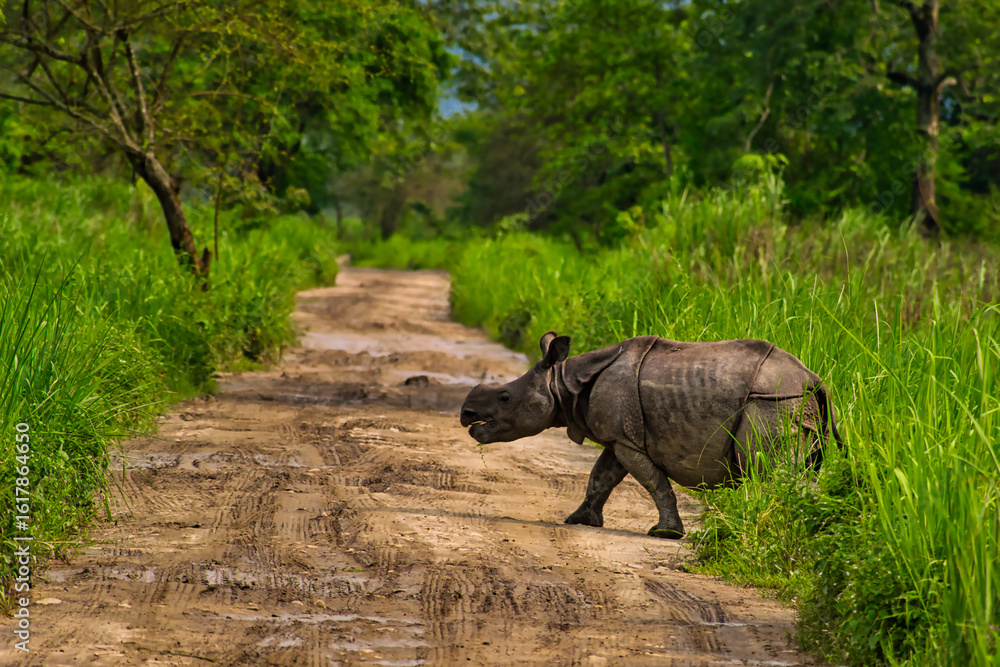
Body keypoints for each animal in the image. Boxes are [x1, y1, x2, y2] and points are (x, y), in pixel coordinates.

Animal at [460, 332, 842, 538]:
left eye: (505, 398)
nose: (467, 415)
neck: (564, 382)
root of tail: (814, 379)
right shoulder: (618, 436)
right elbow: (600, 476)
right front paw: (580, 521)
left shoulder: (627, 441)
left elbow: (652, 481)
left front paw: (666, 534)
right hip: (795, 403)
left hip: (772, 402)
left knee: (768, 470)